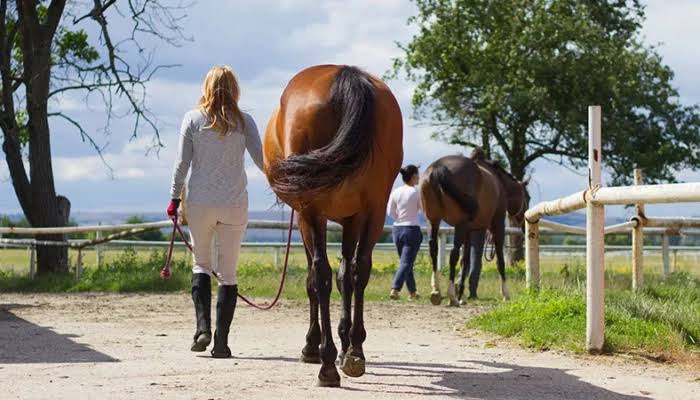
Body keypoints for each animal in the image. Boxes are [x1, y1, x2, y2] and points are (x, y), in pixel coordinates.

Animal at [263, 65, 403, 387]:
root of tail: (344, 74)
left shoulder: (308, 217)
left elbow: (314, 281)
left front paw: (314, 346)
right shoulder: (354, 217)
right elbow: (346, 276)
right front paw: (346, 344)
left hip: (311, 211)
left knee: (321, 275)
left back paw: (326, 364)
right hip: (375, 210)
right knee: (359, 270)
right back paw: (354, 354)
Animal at [419, 149, 529, 306]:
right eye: (527, 197)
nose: (525, 225)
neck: (499, 183)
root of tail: (437, 168)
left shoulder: (469, 231)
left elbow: (465, 261)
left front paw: (461, 294)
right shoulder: (497, 225)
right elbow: (500, 261)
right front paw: (505, 293)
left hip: (433, 221)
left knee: (433, 249)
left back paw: (436, 291)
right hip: (459, 225)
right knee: (453, 254)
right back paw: (451, 296)